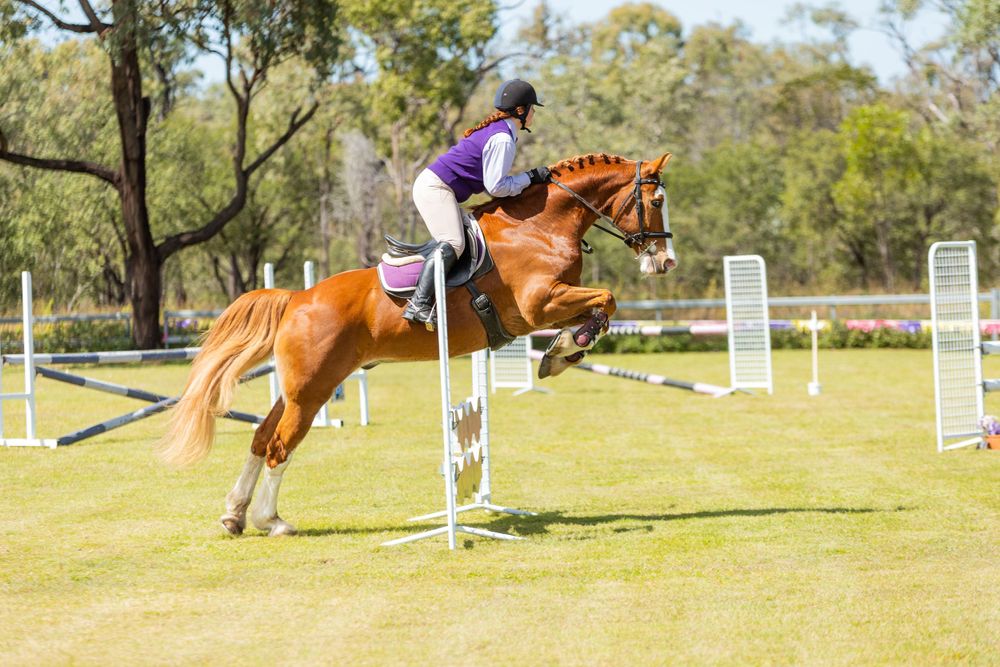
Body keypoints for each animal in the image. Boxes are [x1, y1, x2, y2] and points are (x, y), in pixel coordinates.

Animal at [158, 152, 676, 536]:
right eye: (656, 199)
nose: (666, 261)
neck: (538, 227)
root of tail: (297, 298)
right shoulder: (539, 305)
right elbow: (607, 299)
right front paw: (566, 350)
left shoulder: (550, 306)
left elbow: (601, 307)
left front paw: (563, 351)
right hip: (311, 391)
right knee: (280, 446)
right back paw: (273, 521)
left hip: (298, 389)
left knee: (261, 437)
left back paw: (234, 514)